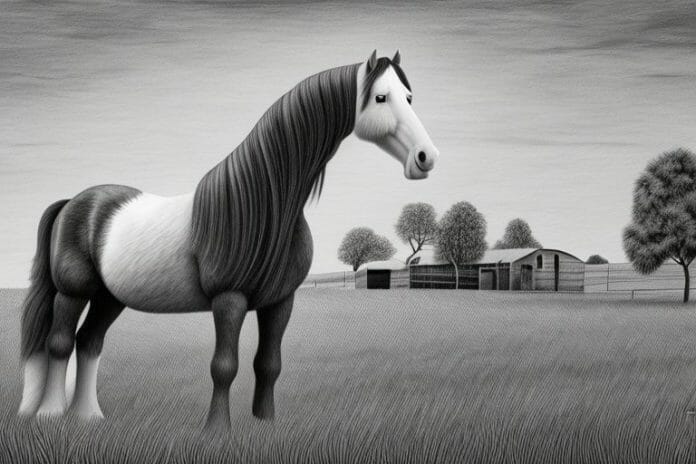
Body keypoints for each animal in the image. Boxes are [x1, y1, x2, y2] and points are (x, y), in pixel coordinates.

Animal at [17, 50, 439, 431]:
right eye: (381, 97)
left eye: (409, 97)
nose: (426, 157)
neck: (261, 207)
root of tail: (75, 202)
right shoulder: (229, 300)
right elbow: (224, 366)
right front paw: (217, 430)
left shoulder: (280, 302)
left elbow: (269, 364)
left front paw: (266, 423)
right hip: (73, 291)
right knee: (60, 343)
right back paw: (50, 413)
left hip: (110, 298)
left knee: (89, 342)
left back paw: (88, 416)